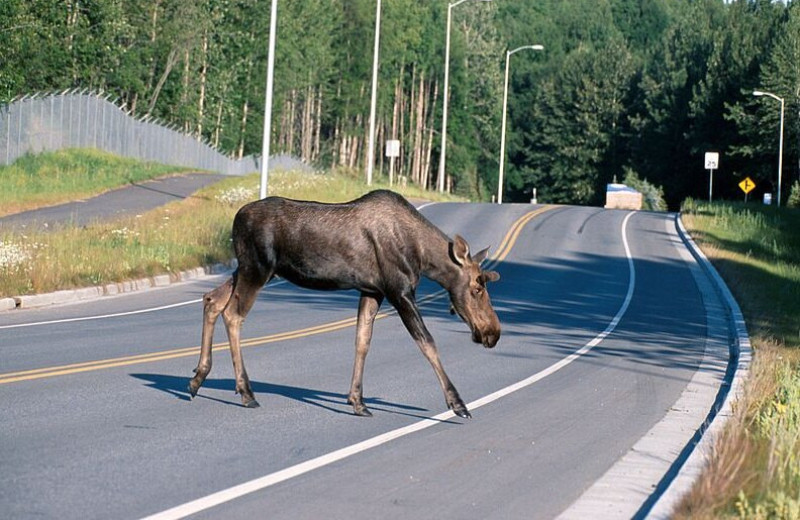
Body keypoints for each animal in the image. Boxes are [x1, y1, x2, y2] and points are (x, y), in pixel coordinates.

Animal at [189, 191, 500, 418]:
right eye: (476, 288)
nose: (493, 333)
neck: (423, 257)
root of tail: (235, 219)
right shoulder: (399, 291)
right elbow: (428, 343)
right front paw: (458, 404)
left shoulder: (372, 291)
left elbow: (362, 341)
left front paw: (358, 401)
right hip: (258, 268)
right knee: (233, 314)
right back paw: (246, 392)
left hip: (246, 268)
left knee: (212, 300)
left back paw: (197, 378)